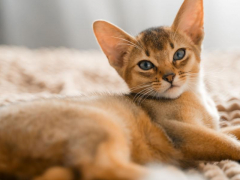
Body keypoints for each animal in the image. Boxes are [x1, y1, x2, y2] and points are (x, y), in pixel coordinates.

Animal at [0, 0, 240, 179]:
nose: (169, 77)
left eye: (179, 54)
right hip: (100, 122)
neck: (196, 97)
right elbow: (227, 142)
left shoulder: (210, 127)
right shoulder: (180, 132)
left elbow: (230, 131)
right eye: (146, 65)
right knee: (99, 169)